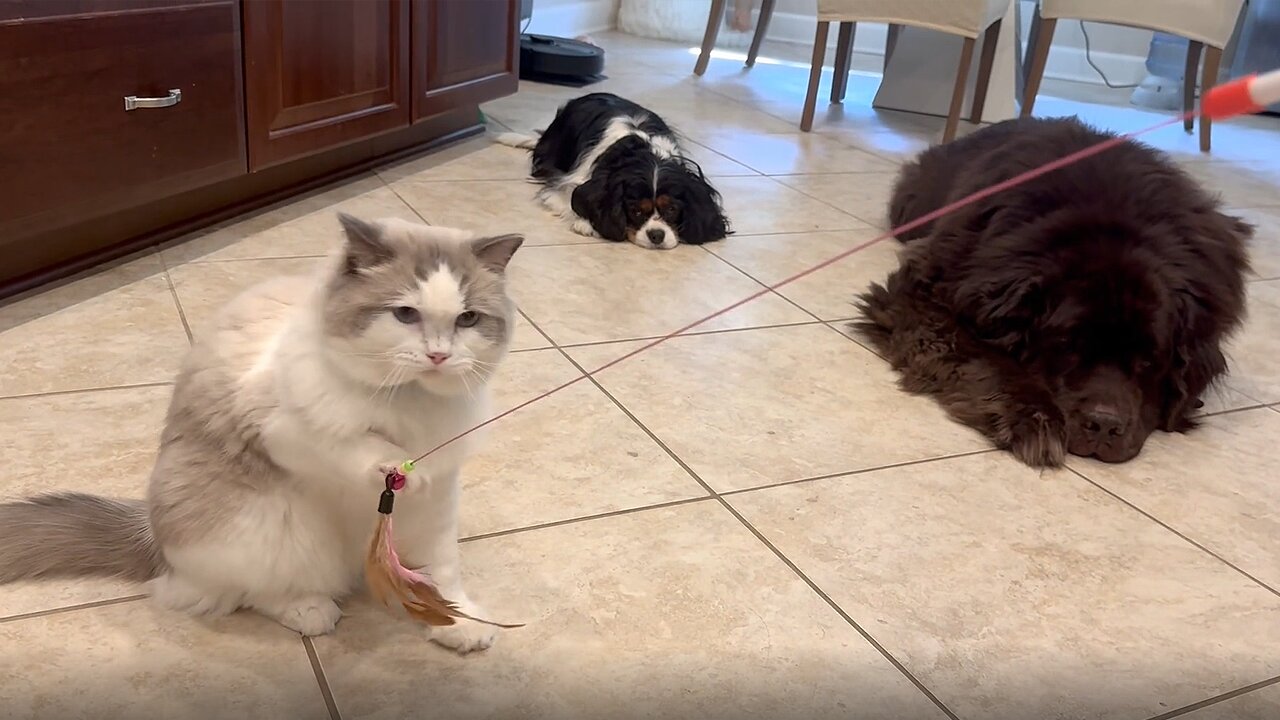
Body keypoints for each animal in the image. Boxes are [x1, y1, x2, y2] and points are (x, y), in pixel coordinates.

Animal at [0, 212, 522, 650]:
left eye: (467, 319)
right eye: (405, 314)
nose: (438, 355)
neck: (411, 401)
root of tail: (150, 535)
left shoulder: (440, 492)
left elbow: (443, 569)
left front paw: (457, 623)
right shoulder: (284, 431)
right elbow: (359, 445)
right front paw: (396, 463)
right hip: (272, 526)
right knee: (242, 592)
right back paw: (309, 610)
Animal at [496, 92, 727, 249]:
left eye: (671, 209)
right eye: (635, 211)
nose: (657, 235)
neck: (644, 152)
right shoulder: (568, 182)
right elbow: (569, 199)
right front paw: (587, 224)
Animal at [849, 116, 1249, 466]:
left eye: (1149, 360)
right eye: (1067, 347)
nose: (1104, 424)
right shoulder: (924, 291)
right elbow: (977, 352)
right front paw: (1033, 418)